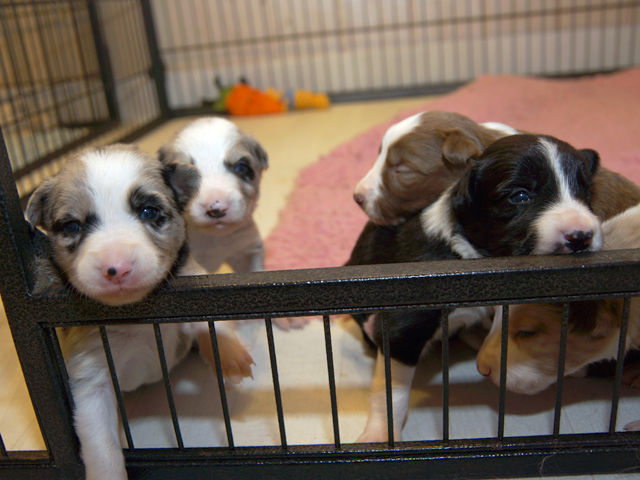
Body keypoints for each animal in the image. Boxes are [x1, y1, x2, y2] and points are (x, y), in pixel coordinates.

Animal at [26, 144, 254, 480]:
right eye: (72, 226)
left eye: (148, 212)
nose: (116, 268)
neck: (136, 313)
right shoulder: (90, 378)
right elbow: (101, 445)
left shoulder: (189, 280)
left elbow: (209, 321)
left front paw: (230, 354)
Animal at [348, 134, 604, 442]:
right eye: (520, 196)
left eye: (584, 193)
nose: (581, 236)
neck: (469, 256)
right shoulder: (401, 326)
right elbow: (391, 392)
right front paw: (379, 435)